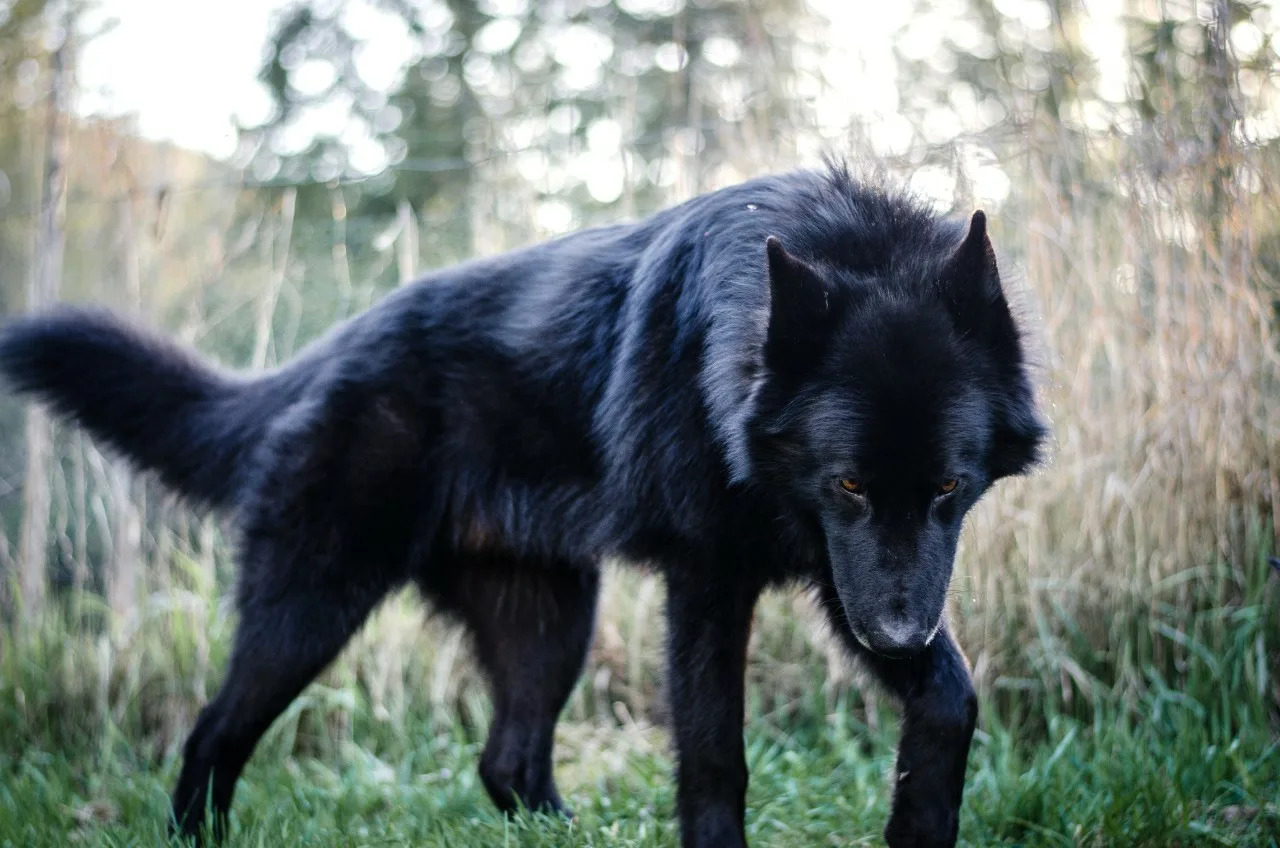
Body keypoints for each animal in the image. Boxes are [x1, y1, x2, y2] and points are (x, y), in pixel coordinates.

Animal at [0, 163, 1045, 847]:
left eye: (949, 486)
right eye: (850, 482)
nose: (900, 638)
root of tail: (319, 357)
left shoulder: (847, 578)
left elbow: (951, 699)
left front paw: (918, 826)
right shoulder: (715, 581)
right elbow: (716, 756)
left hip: (551, 625)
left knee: (506, 763)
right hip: (311, 613)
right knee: (213, 733)